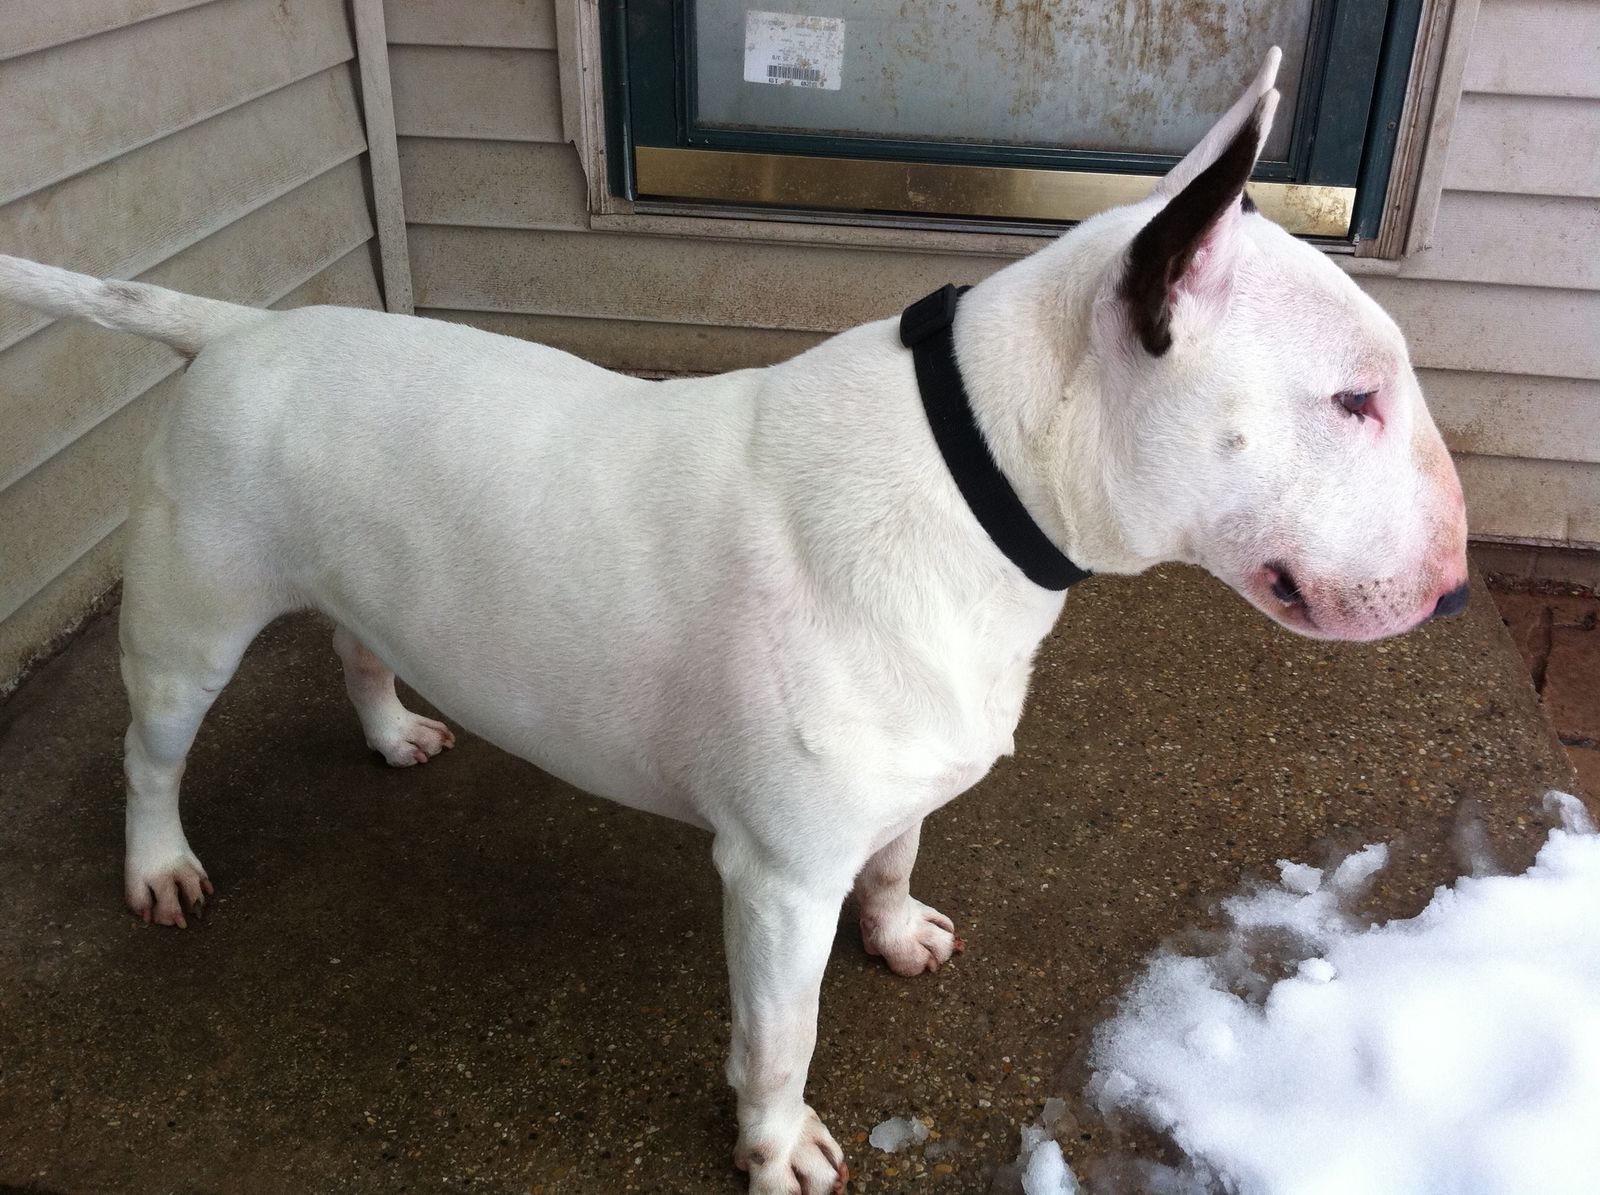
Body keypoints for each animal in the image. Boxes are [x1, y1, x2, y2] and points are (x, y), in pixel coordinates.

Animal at [0, 49, 1466, 1194]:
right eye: (1354, 399)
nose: (1457, 582)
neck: (974, 474)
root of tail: (238, 329)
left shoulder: (893, 788)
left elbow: (896, 855)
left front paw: (898, 930)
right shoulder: (773, 877)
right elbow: (781, 1034)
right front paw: (777, 1145)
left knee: (360, 641)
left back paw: (392, 730)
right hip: (189, 626)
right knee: (148, 750)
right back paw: (158, 864)